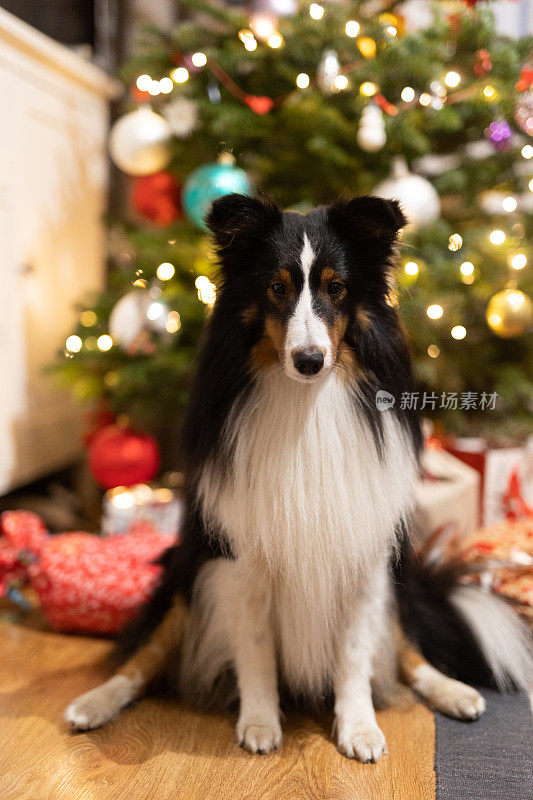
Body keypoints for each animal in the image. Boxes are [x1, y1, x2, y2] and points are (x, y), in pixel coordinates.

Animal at [67, 194, 532, 764]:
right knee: (144, 657)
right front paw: (260, 723)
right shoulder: (240, 560)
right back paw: (92, 703)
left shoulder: (362, 557)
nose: (309, 361)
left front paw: (359, 728)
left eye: (337, 288)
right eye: (277, 288)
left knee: (408, 646)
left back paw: (453, 690)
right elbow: (255, 651)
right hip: (186, 574)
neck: (306, 404)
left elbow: (355, 657)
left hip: (393, 580)